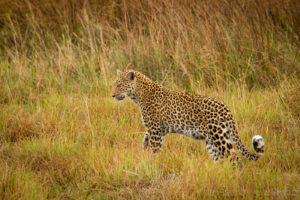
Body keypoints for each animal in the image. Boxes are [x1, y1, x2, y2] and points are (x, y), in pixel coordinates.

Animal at [112, 69, 264, 165]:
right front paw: (144, 153)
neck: (137, 95)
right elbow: (146, 140)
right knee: (220, 159)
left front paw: (152, 163)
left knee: (234, 157)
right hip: (211, 140)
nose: (112, 95)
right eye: (115, 84)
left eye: (119, 85)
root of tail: (225, 107)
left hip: (218, 136)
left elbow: (154, 149)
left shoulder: (155, 130)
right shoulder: (156, 130)